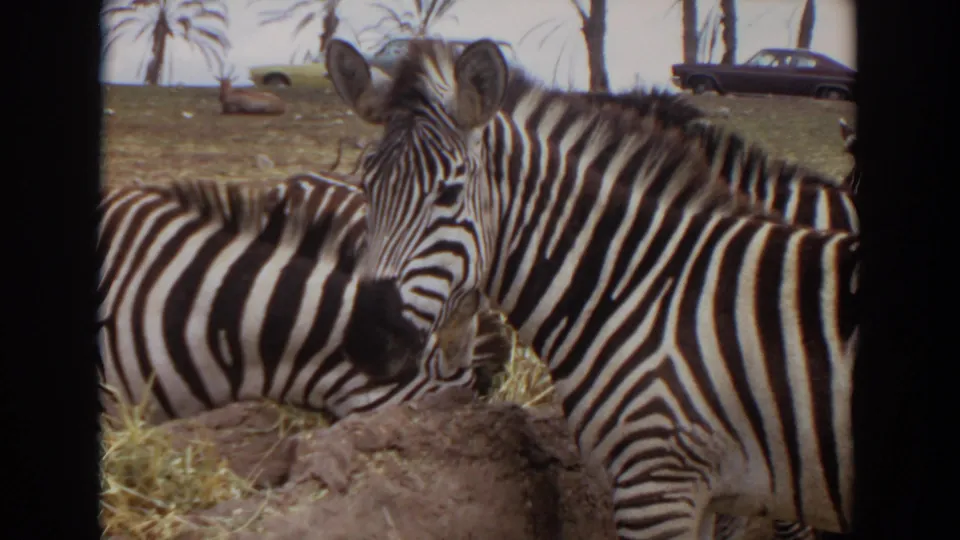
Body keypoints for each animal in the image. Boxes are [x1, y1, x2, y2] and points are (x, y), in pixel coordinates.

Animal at [325, 38, 859, 539]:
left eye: (449, 194)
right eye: (366, 186)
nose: (367, 340)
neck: (645, 289)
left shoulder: (657, 484)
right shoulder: (711, 491)